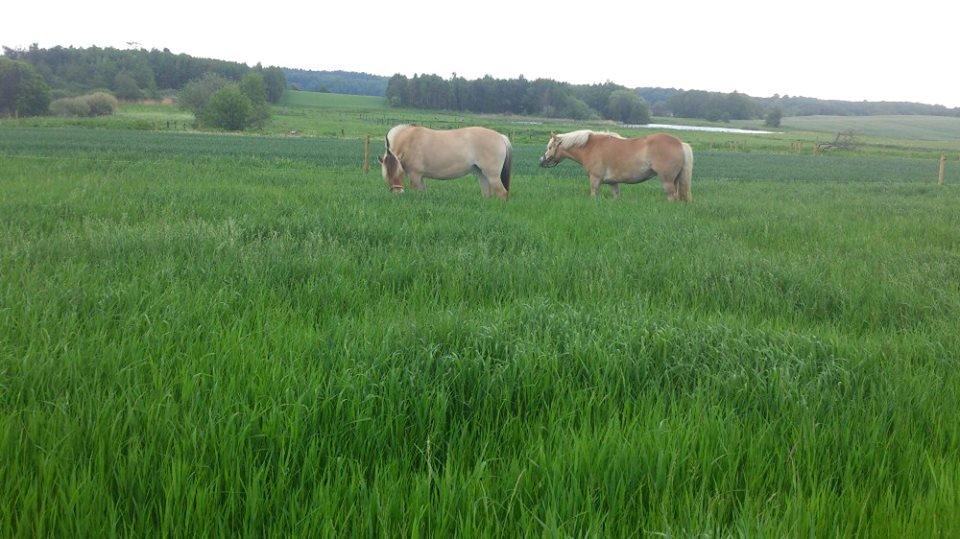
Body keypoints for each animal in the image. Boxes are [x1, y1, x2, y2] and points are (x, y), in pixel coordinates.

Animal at [376, 125, 512, 200]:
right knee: (487, 193)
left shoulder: (415, 175)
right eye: (386, 174)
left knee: (502, 193)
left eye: (400, 172)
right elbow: (423, 192)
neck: (409, 140)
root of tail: (501, 137)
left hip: (492, 176)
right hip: (482, 175)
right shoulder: (420, 177)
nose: (398, 193)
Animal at [536, 130, 692, 201]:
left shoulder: (595, 179)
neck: (591, 147)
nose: (541, 160)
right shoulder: (613, 183)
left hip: (667, 181)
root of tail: (680, 143)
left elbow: (593, 194)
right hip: (676, 180)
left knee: (672, 197)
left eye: (550, 147)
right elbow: (616, 196)